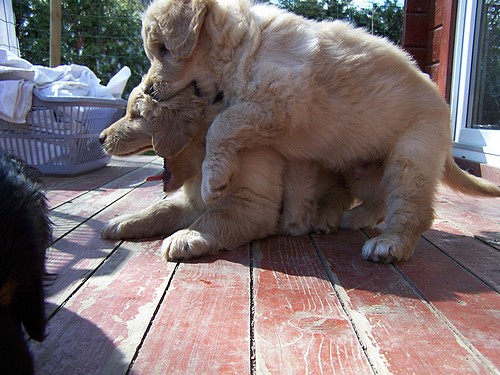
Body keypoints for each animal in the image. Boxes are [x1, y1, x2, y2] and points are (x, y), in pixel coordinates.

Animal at [99, 83, 354, 260]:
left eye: (136, 115)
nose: (100, 138)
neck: (203, 159)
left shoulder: (255, 204)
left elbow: (216, 215)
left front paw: (188, 236)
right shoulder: (194, 200)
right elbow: (162, 207)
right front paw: (126, 220)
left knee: (340, 194)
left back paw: (324, 217)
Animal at [142, 0, 500, 262]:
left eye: (163, 49)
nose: (148, 90)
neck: (243, 48)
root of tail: (444, 108)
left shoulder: (279, 102)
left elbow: (221, 125)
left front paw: (214, 179)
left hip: (411, 157)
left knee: (413, 210)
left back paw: (390, 244)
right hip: (362, 165)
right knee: (378, 201)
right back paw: (349, 219)